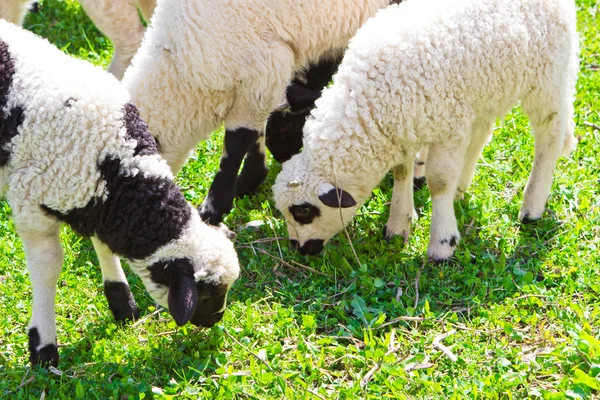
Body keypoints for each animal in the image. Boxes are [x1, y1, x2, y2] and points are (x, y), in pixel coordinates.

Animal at [0, 20, 239, 368]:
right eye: (206, 293)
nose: (215, 320)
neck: (113, 163)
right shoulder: (32, 208)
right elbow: (48, 269)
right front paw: (43, 347)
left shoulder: (98, 201)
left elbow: (104, 245)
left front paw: (122, 302)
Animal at [122, 0, 400, 227]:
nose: (284, 155)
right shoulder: (264, 76)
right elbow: (259, 128)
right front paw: (249, 180)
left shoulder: (263, 67)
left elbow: (237, 141)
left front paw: (213, 208)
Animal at [274, 0, 580, 260]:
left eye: (303, 211)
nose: (298, 248)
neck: (367, 101)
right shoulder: (407, 128)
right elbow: (402, 172)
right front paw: (398, 224)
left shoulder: (446, 130)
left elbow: (439, 181)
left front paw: (442, 244)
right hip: (485, 88)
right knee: (481, 132)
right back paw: (462, 187)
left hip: (547, 76)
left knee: (550, 136)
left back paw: (532, 207)